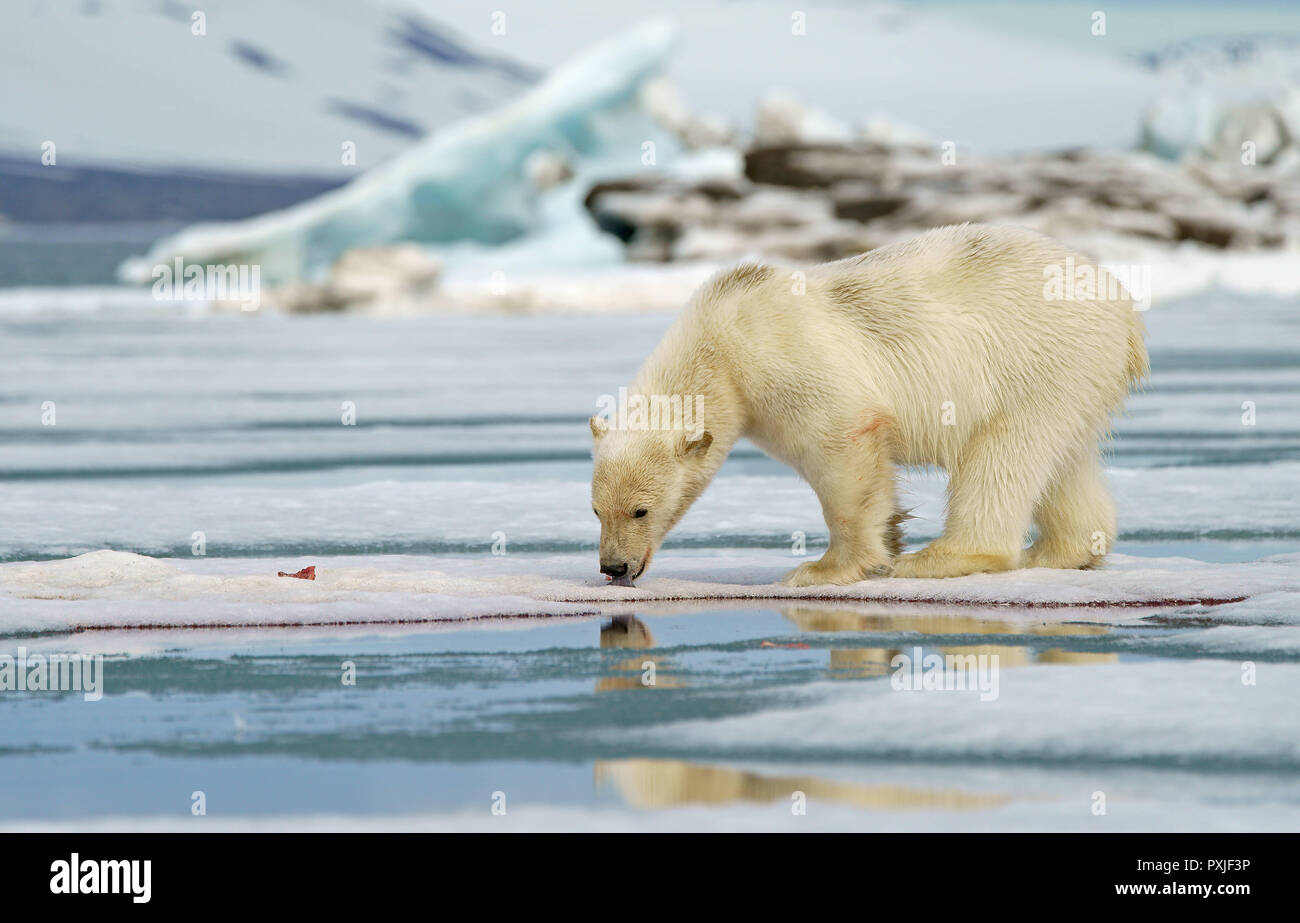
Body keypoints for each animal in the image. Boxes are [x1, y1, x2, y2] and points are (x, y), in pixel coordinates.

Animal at [590, 223, 1149, 585]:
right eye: (596, 509)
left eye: (640, 510)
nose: (614, 567)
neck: (720, 345)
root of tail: (1123, 309)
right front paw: (894, 532)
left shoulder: (785, 361)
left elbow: (843, 446)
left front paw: (824, 568)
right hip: (1073, 376)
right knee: (1064, 458)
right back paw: (1060, 551)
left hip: (1035, 357)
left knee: (1002, 454)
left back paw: (941, 558)